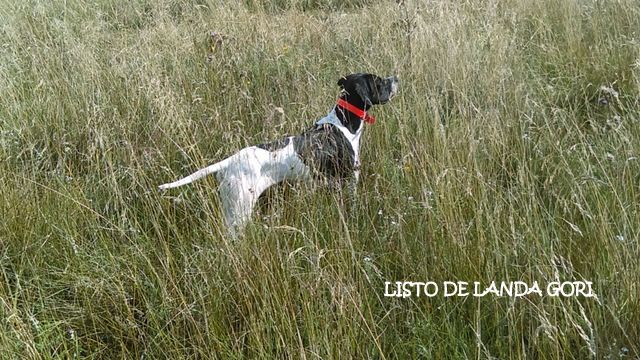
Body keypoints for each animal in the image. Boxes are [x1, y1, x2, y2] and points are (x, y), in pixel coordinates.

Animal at [159, 73, 400, 236]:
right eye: (378, 81)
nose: (395, 77)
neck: (342, 123)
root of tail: (229, 162)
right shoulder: (350, 180)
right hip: (240, 210)